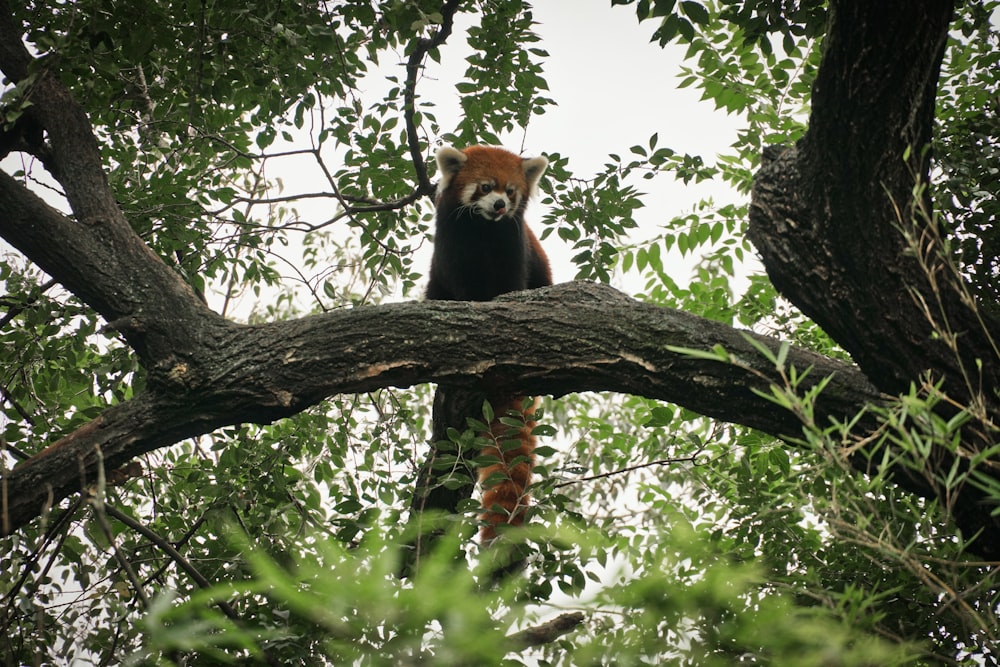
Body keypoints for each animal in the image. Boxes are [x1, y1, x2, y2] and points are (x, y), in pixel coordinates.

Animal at [428, 145, 556, 544]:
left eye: (511, 191)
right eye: (485, 187)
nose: (500, 205)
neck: (483, 230)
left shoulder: (514, 248)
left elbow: (510, 285)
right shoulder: (452, 245)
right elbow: (460, 286)